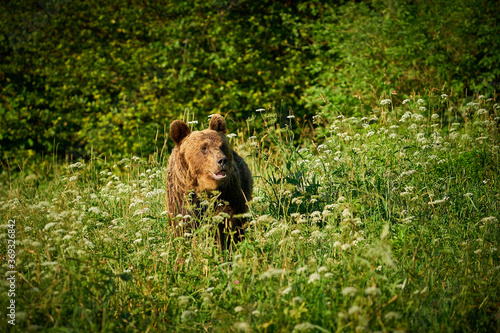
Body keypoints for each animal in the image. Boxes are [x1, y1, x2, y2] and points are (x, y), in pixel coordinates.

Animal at [167, 115, 252, 244]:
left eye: (222, 145)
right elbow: (184, 223)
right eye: (203, 148)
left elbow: (227, 222)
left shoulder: (228, 194)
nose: (222, 161)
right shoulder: (182, 195)